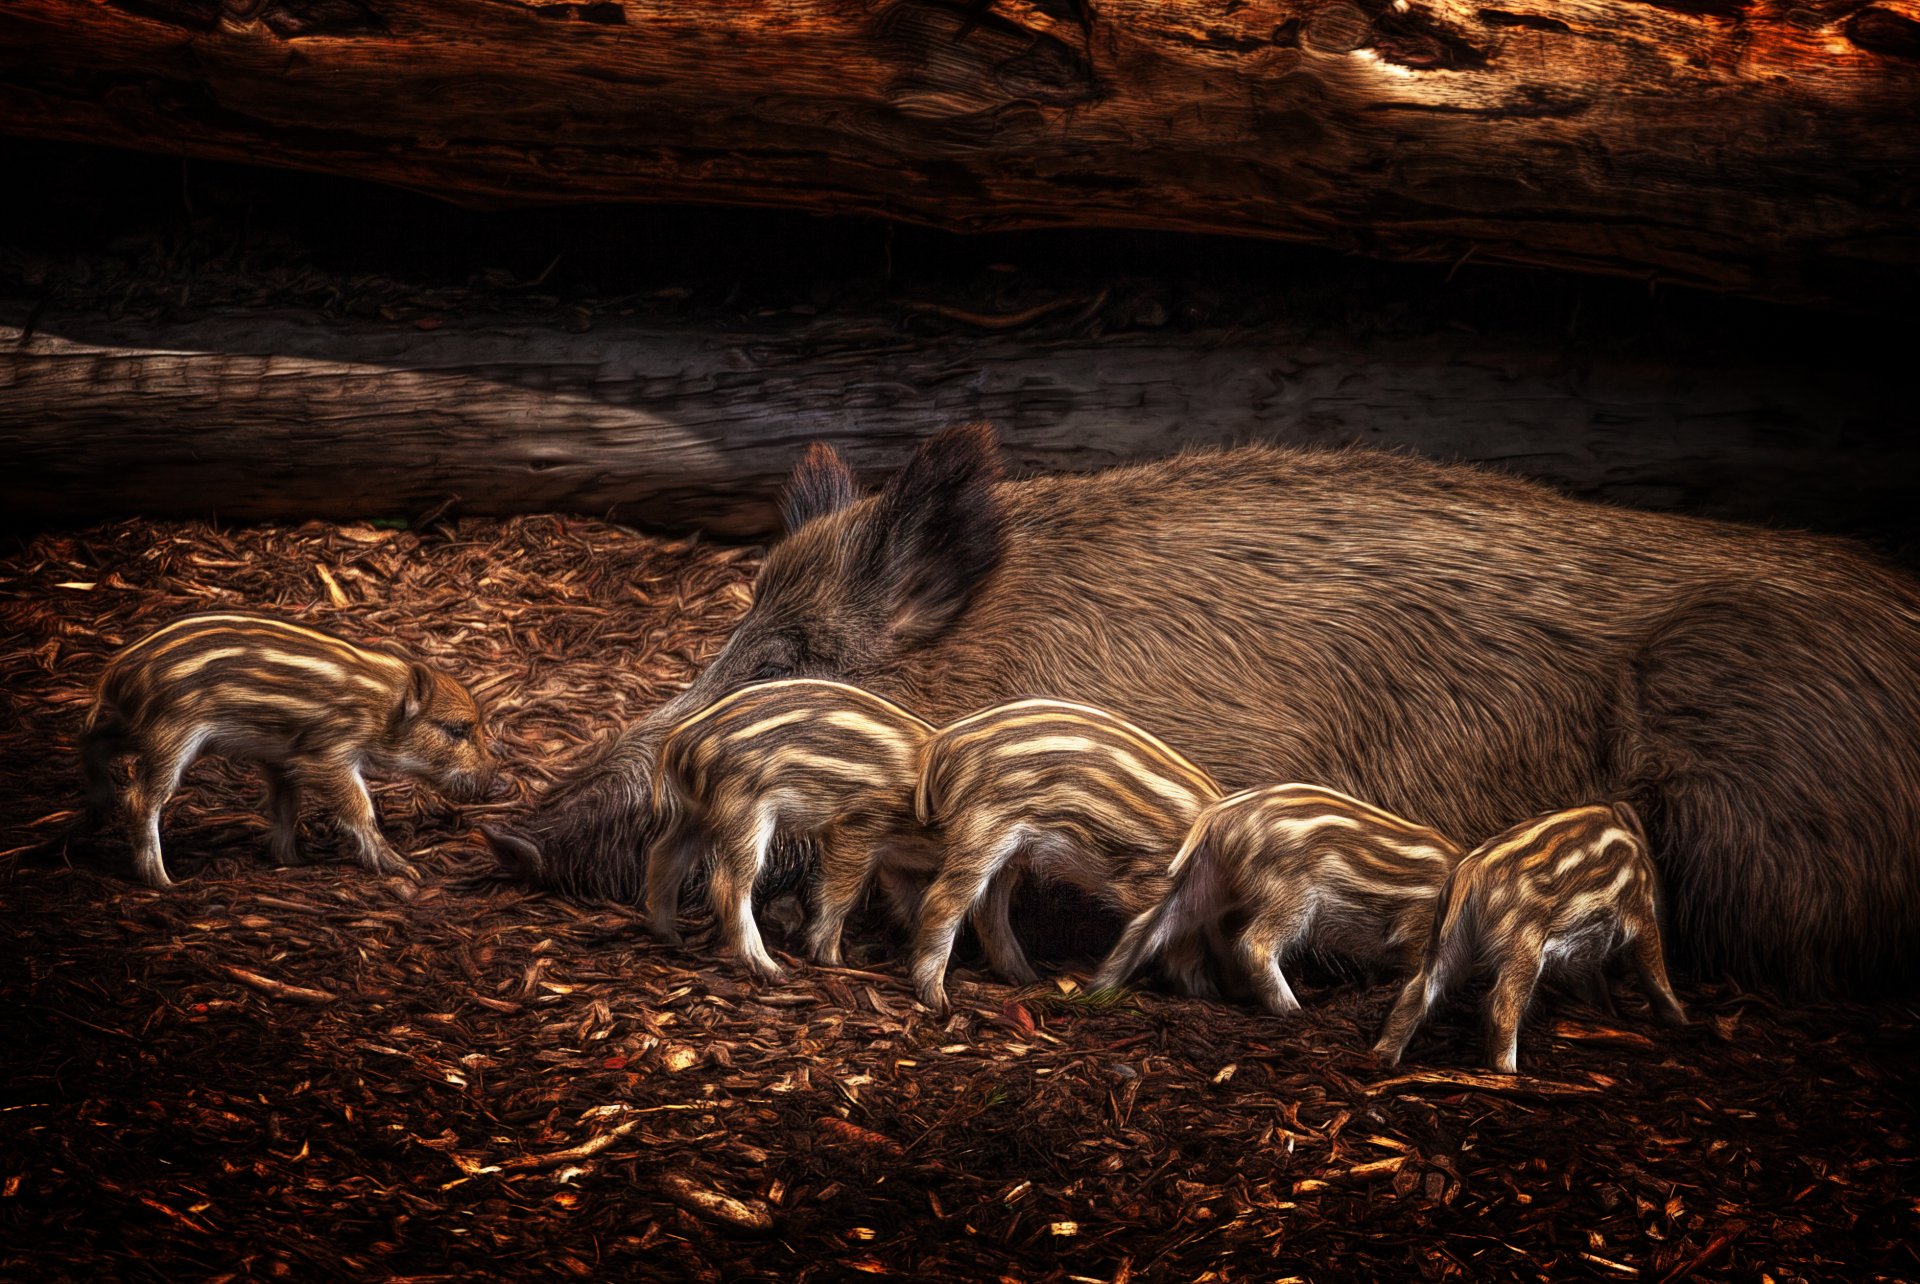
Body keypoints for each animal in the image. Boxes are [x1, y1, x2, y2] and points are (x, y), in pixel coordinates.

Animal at [83, 611, 494, 887]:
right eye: (458, 730)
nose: (495, 780)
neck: (381, 706)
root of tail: (115, 671)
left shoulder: (282, 757)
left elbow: (286, 804)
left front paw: (290, 861)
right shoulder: (328, 755)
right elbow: (359, 809)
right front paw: (404, 868)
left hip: (138, 727)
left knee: (92, 739)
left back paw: (96, 811)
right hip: (171, 735)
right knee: (140, 798)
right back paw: (162, 881)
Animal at [645, 677, 942, 980]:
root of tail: (676, 742)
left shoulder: (896, 859)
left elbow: (912, 899)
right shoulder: (858, 828)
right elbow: (840, 894)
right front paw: (833, 960)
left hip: (698, 812)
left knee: (665, 855)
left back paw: (668, 934)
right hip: (744, 810)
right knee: (727, 882)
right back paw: (768, 967)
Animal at [907, 697, 1223, 1015]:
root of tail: (940, 742)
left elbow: (1183, 945)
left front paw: (1198, 990)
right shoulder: (1149, 885)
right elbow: (1142, 943)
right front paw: (1095, 994)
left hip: (1010, 853)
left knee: (988, 908)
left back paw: (1027, 978)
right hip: (982, 828)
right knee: (943, 901)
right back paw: (937, 999)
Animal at [1094, 783, 1464, 1014]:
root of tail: (1218, 817)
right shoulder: (1415, 928)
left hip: (1207, 881)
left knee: (1150, 923)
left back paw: (1097, 990)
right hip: (1290, 896)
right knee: (1254, 943)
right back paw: (1293, 1011)